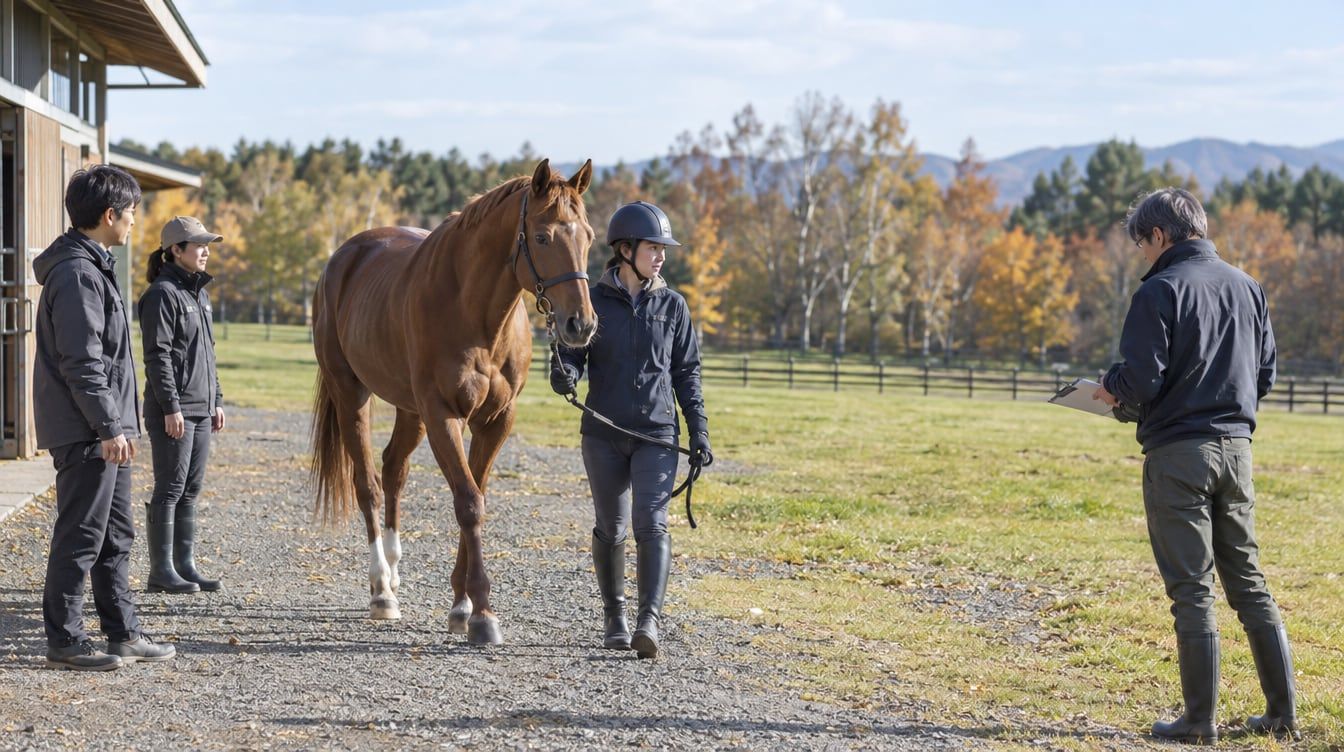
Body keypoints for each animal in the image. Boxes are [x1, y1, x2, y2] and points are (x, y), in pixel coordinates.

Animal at [309, 159, 597, 644]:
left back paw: (394, 570)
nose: (581, 324)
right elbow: (468, 503)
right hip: (352, 395)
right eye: (542, 237)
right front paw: (481, 613)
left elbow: (476, 493)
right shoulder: (444, 415)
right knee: (368, 484)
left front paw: (461, 605)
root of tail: (341, 258)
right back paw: (381, 589)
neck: (475, 313)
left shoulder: (495, 420)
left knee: (394, 469)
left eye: (589, 236)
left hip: (409, 410)